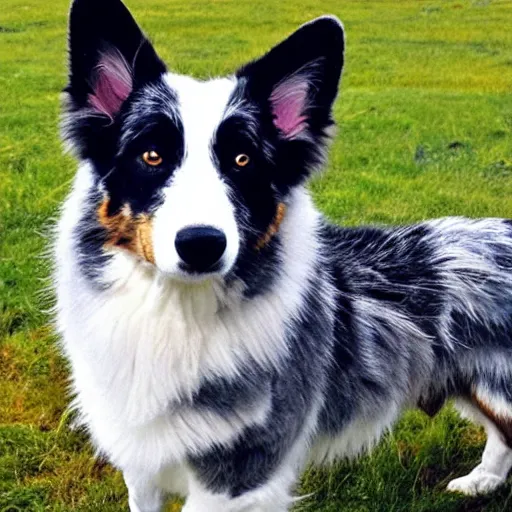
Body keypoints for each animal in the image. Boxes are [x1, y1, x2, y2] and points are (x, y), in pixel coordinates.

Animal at [53, 1, 512, 512]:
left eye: (243, 160)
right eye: (151, 155)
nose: (201, 244)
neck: (178, 312)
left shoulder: (239, 471)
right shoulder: (141, 460)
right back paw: (483, 481)